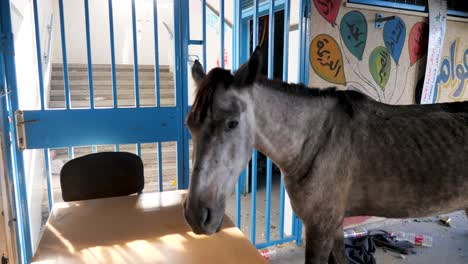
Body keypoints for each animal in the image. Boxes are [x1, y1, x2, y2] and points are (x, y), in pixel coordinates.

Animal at [183, 47, 468, 264]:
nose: (196, 215)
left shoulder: (320, 228)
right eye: (190, 125)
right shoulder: (335, 225)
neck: (316, 140)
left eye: (232, 123)